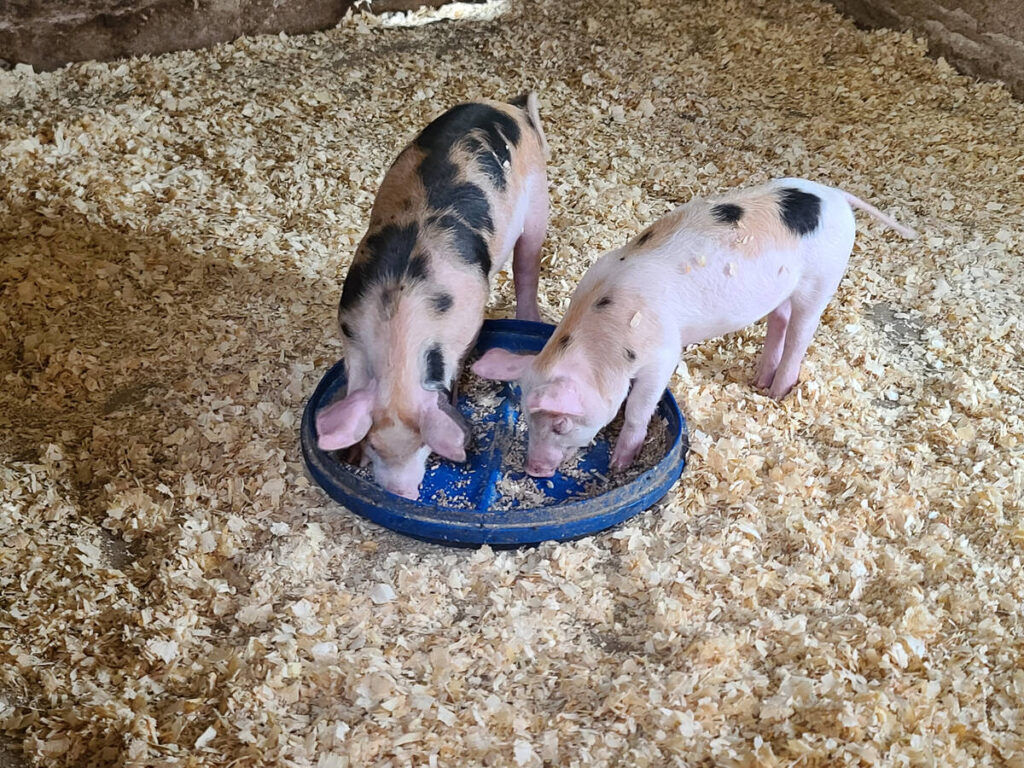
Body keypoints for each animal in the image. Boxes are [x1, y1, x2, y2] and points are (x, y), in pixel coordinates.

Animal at [315, 93, 550, 499]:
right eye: (375, 446)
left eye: (423, 446)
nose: (403, 494)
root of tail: (513, 107)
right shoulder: (351, 332)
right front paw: (350, 456)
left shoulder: (466, 326)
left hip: (538, 203)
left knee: (527, 267)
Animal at [472, 178, 917, 477]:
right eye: (526, 418)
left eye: (560, 423)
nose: (534, 470)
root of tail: (836, 196)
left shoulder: (662, 355)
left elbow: (638, 410)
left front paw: (620, 463)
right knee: (780, 319)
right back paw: (760, 380)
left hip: (822, 278)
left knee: (802, 331)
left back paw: (777, 392)